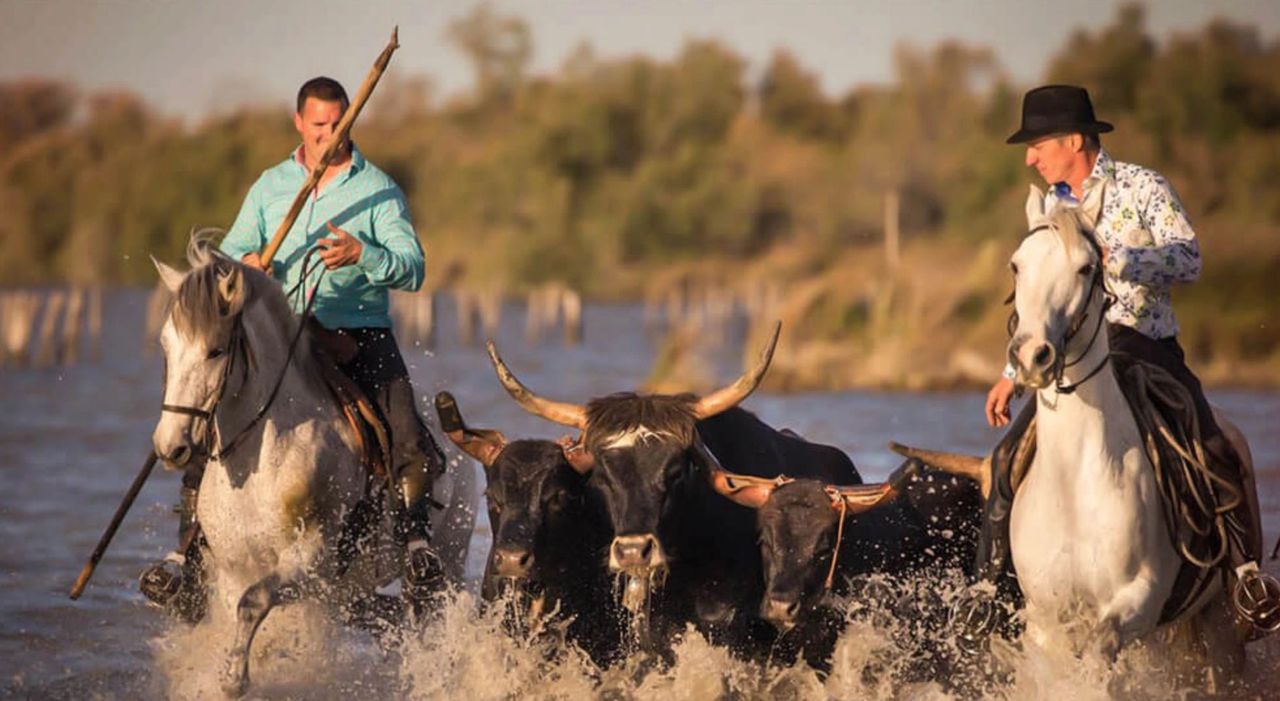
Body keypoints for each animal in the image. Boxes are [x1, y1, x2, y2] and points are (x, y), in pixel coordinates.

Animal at [148, 241, 471, 695]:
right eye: (165, 346)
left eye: (215, 350)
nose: (170, 445)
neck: (258, 461)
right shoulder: (231, 569)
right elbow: (239, 611)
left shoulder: (309, 560)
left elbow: (254, 602)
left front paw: (234, 678)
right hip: (350, 590)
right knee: (384, 614)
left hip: (447, 563)